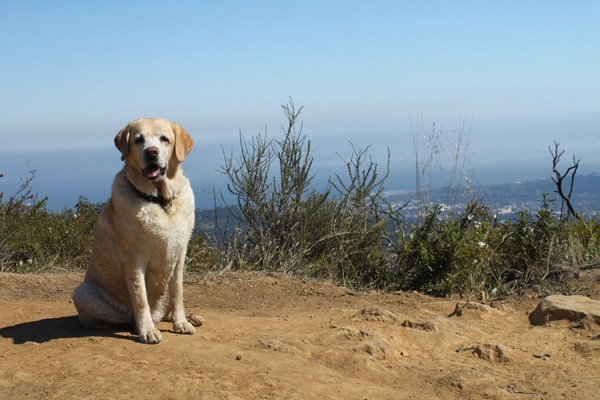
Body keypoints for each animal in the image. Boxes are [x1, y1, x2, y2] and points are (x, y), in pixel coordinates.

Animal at [72, 117, 204, 342]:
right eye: (138, 140)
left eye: (164, 139)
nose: (151, 152)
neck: (160, 199)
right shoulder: (135, 259)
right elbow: (140, 298)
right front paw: (147, 330)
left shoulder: (179, 256)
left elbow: (178, 293)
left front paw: (181, 322)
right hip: (83, 292)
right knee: (107, 317)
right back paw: (131, 324)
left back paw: (191, 317)